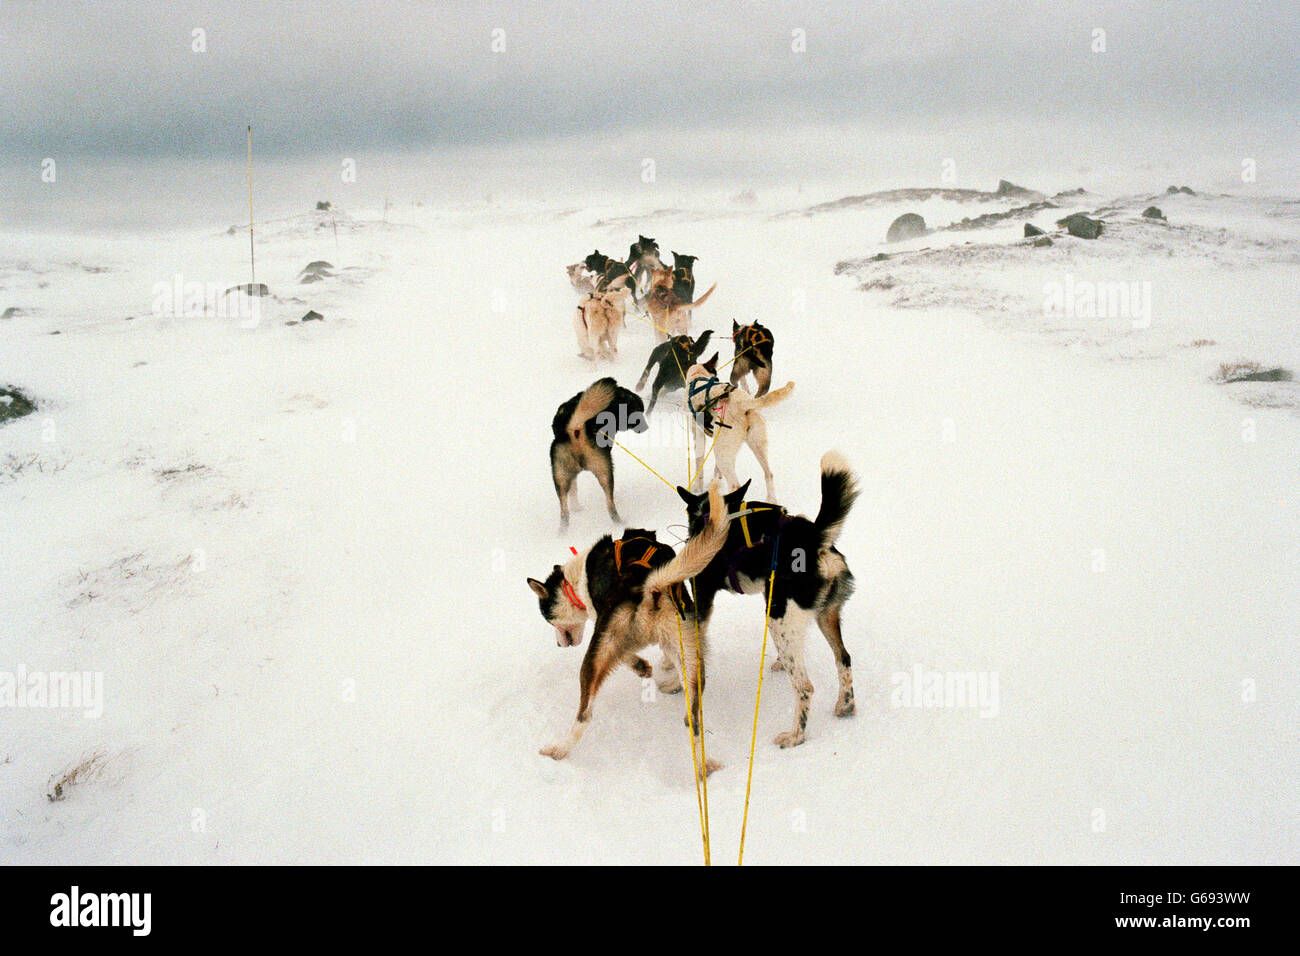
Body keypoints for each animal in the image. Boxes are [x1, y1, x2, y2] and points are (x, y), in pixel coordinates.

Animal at [527, 478, 733, 770]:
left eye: (548, 619)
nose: (559, 644)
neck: (576, 577)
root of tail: (649, 587)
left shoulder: (602, 627)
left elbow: (626, 657)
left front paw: (640, 666)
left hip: (592, 661)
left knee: (584, 715)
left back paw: (559, 749)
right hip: (691, 659)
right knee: (692, 722)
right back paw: (704, 765)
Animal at [676, 452, 857, 749]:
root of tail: (815, 539)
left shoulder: (702, 598)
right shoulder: (765, 591)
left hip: (778, 617)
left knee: (804, 687)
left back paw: (795, 736)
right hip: (822, 615)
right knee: (843, 658)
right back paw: (845, 704)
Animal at [686, 351, 785, 502]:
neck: (698, 378)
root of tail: (743, 403)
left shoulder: (698, 435)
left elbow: (699, 467)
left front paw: (698, 488)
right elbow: (716, 472)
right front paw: (715, 481)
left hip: (722, 453)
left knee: (735, 485)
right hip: (756, 446)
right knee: (769, 474)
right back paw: (771, 500)